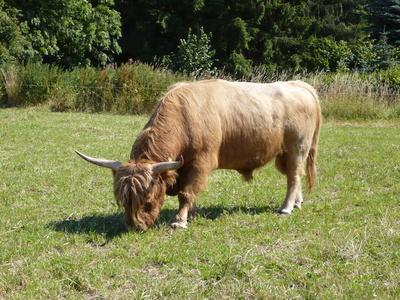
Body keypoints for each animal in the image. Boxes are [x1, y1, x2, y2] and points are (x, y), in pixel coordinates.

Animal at [76, 78, 322, 231]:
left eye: (147, 200)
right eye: (121, 200)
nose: (136, 226)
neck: (184, 119)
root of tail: (299, 85)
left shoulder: (201, 163)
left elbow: (187, 193)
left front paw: (180, 220)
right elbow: (190, 193)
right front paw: (192, 214)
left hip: (297, 148)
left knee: (293, 177)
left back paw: (286, 207)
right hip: (284, 154)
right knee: (294, 176)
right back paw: (297, 203)